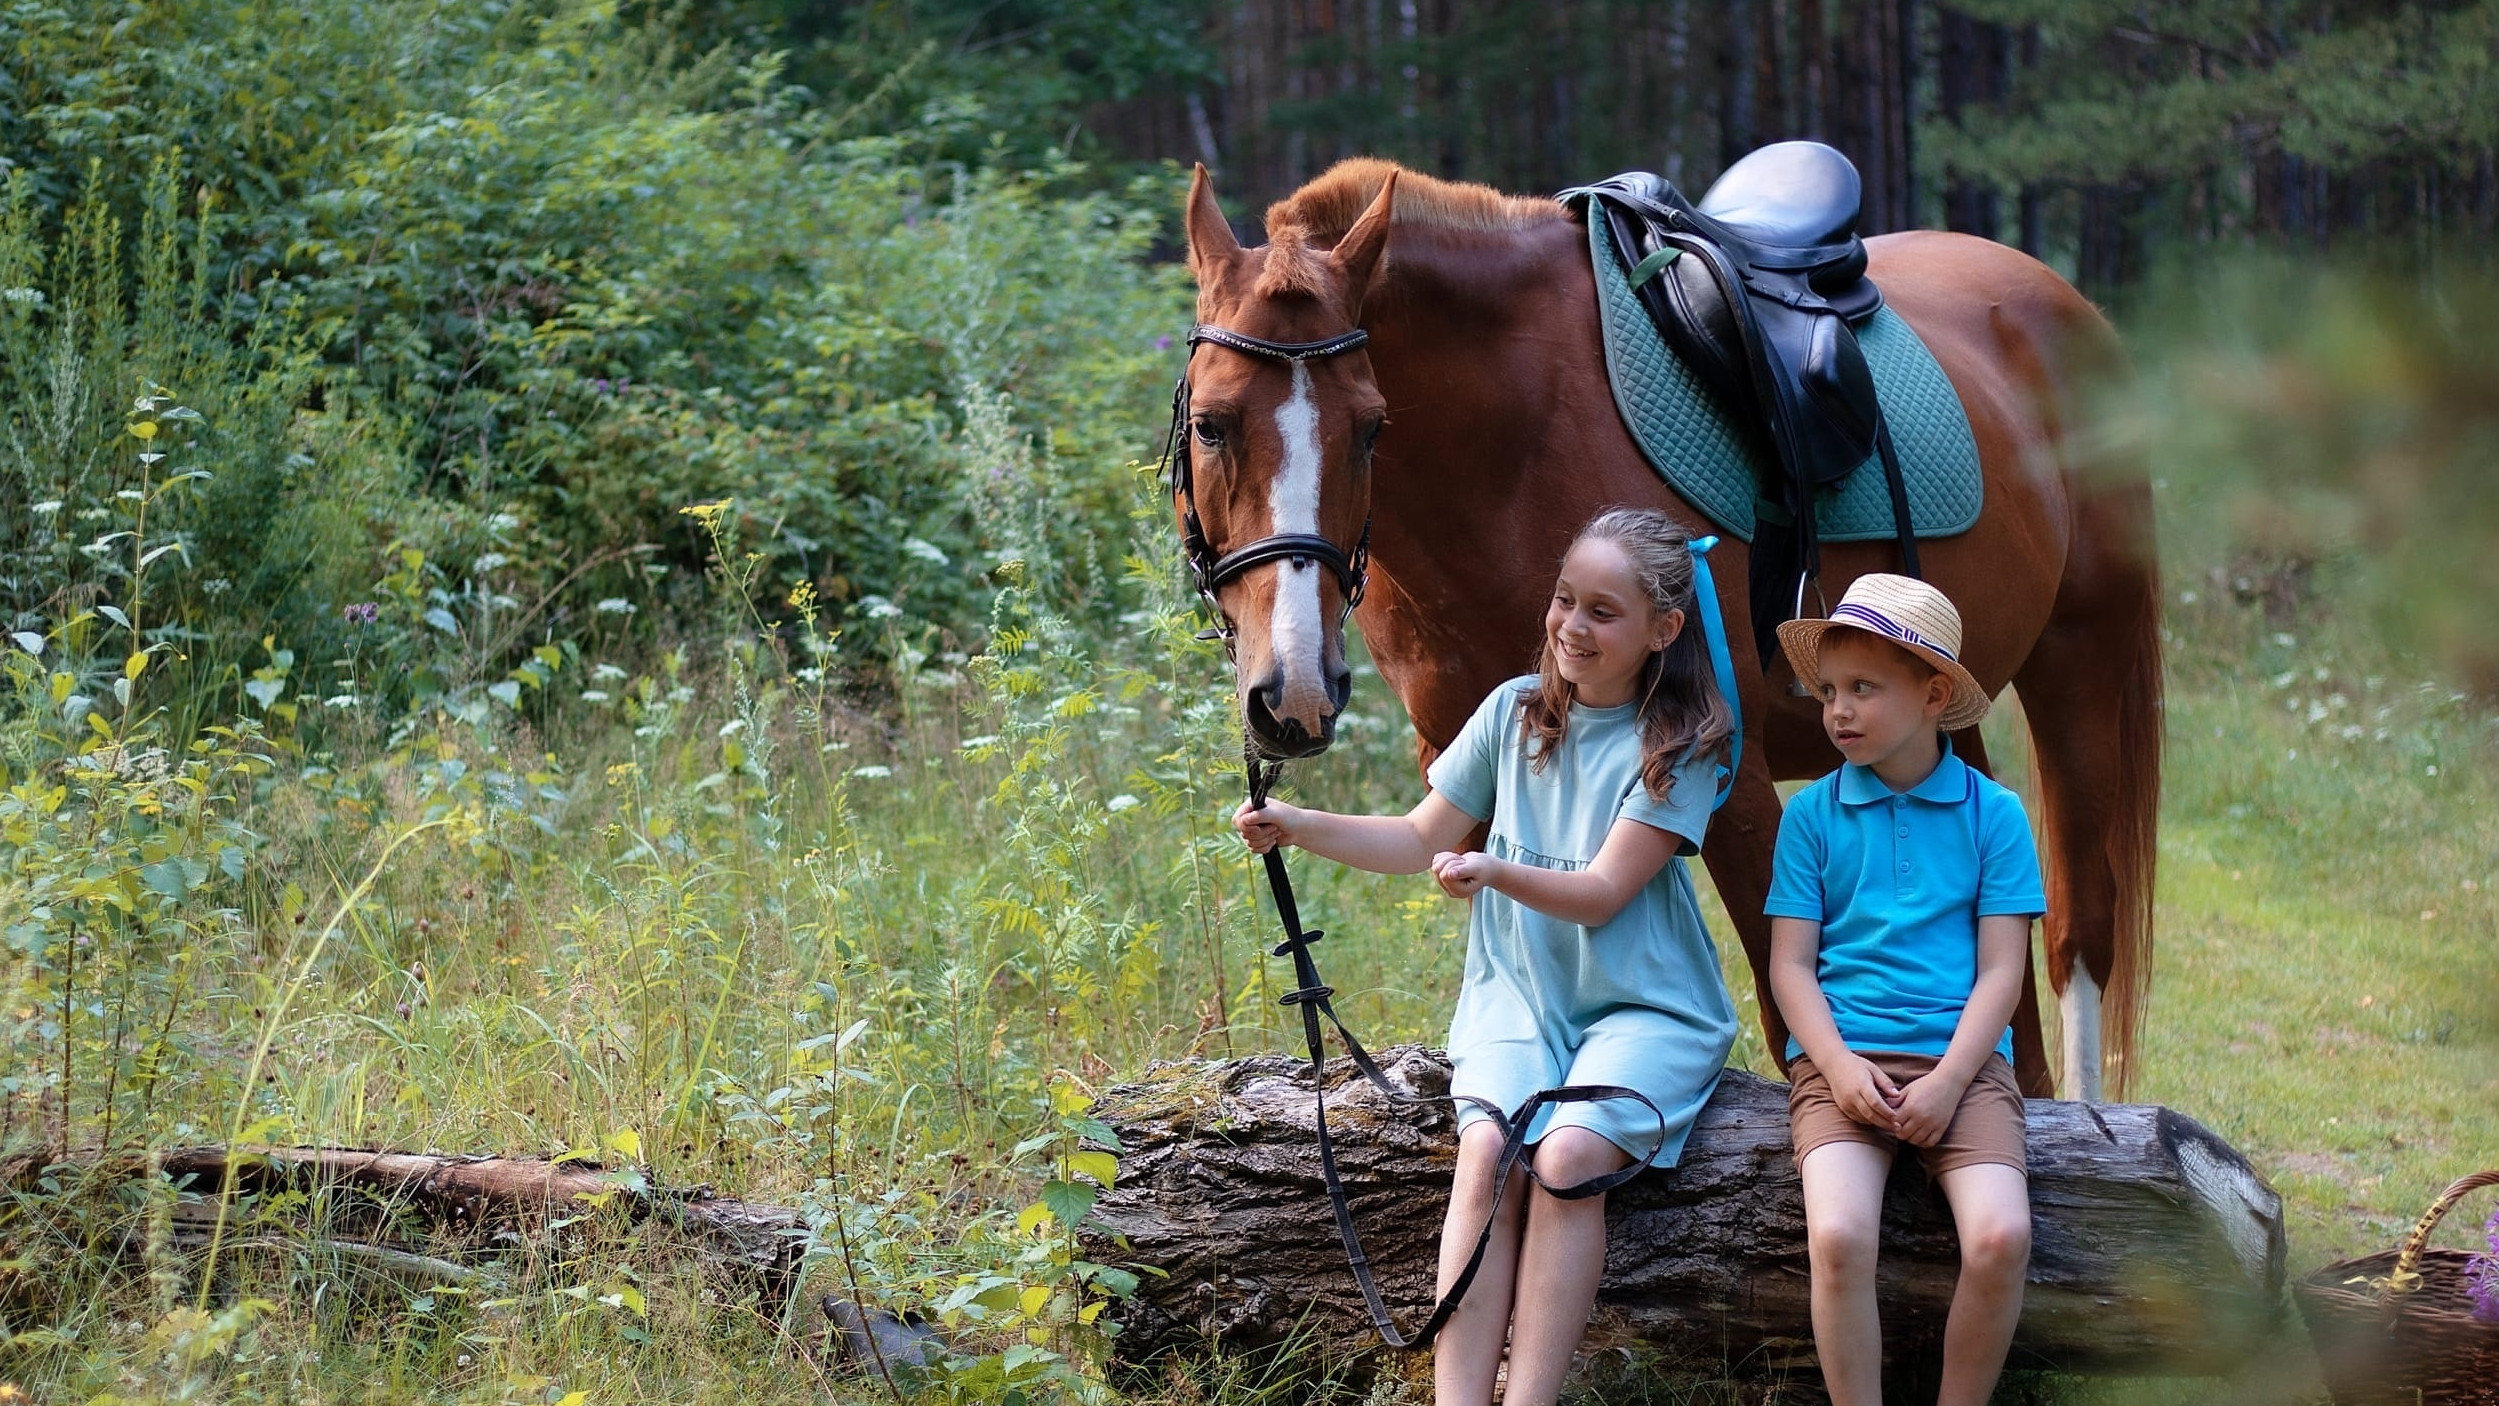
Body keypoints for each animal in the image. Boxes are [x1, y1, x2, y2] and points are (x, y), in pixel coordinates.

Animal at [1179, 156, 2159, 1098]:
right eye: (1210, 424)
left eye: (1371, 428)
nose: (1294, 692)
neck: (1511, 449)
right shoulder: (1461, 775)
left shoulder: (1731, 778)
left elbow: (1791, 1018)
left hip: (2080, 660)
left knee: (2079, 931)